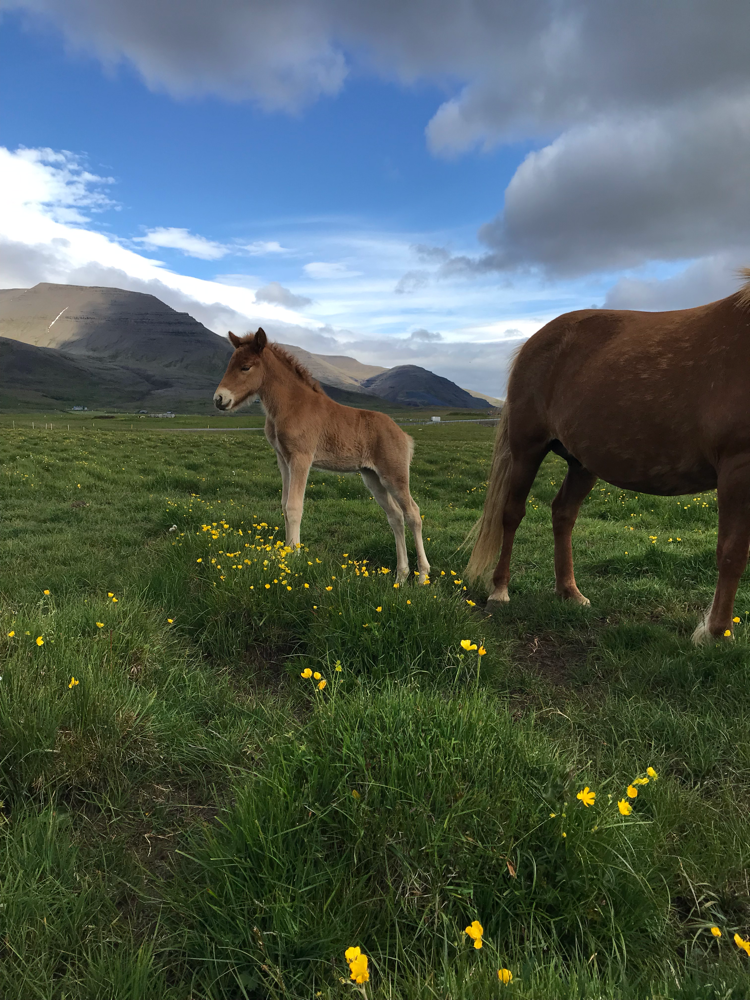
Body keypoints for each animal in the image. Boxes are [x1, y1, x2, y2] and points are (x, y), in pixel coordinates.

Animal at [214, 328, 432, 584]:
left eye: (246, 367)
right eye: (230, 364)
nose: (219, 399)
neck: (291, 405)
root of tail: (403, 435)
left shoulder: (301, 458)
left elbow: (294, 507)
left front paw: (294, 558)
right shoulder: (283, 460)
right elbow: (284, 505)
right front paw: (286, 553)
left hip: (394, 474)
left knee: (413, 514)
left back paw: (422, 576)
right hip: (372, 478)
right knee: (396, 517)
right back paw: (400, 576)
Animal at [470, 274, 750, 640]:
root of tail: (535, 341)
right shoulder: (738, 468)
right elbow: (732, 552)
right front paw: (715, 633)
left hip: (582, 464)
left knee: (563, 514)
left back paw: (569, 592)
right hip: (527, 451)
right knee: (512, 514)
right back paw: (500, 590)